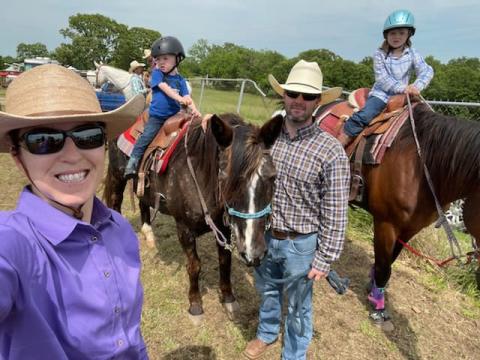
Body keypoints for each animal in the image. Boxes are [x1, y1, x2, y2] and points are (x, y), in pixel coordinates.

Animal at [104, 114, 284, 320]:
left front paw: (228, 298)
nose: (254, 253)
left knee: (143, 201)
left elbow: (225, 261)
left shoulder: (223, 228)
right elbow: (194, 265)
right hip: (117, 176)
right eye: (226, 180)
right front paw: (195, 304)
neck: (199, 175)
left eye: (273, 177)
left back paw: (149, 236)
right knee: (115, 203)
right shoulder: (184, 229)